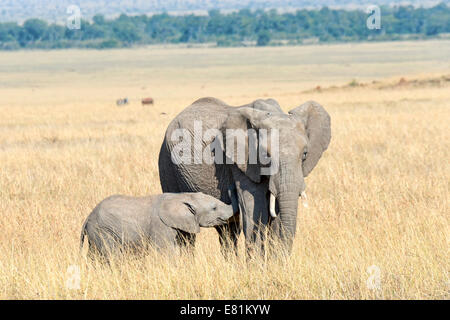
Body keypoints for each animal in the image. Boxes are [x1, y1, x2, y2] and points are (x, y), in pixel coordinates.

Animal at [81, 192, 234, 258]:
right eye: (214, 208)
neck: (182, 196)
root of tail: (88, 218)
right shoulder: (161, 225)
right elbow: (165, 251)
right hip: (103, 231)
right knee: (112, 255)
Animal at [158, 97, 330, 255]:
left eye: (305, 154)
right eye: (265, 155)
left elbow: (277, 213)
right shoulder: (241, 163)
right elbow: (254, 208)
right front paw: (258, 266)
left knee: (228, 232)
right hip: (167, 164)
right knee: (187, 233)